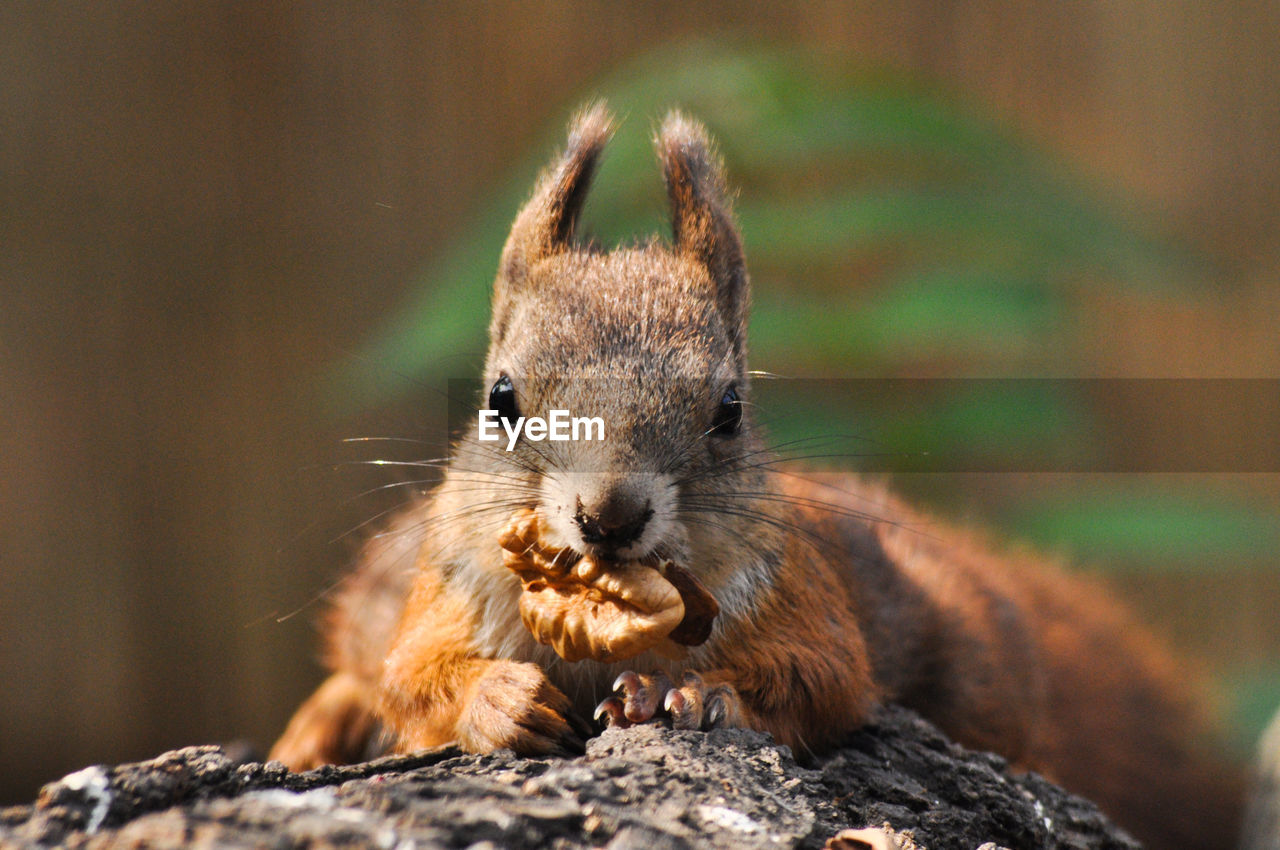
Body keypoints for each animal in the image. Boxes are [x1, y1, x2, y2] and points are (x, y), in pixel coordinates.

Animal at [270, 101, 1239, 850]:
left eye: (729, 410)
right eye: (500, 399)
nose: (609, 516)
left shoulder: (804, 600)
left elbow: (826, 680)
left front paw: (700, 694)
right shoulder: (450, 585)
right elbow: (412, 674)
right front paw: (502, 702)